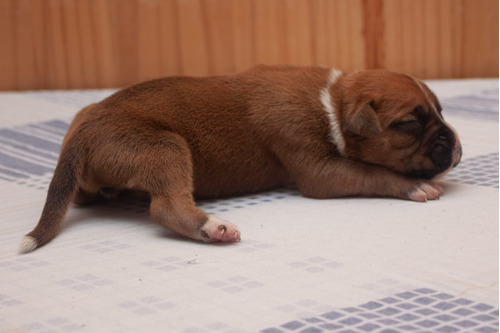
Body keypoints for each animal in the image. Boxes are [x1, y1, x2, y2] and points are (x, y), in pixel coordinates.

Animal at [21, 64, 462, 252]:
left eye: (441, 110)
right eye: (410, 123)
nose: (457, 146)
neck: (333, 103)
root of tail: (83, 134)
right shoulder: (320, 170)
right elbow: (371, 172)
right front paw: (415, 186)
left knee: (85, 194)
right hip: (163, 146)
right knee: (165, 206)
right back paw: (213, 228)